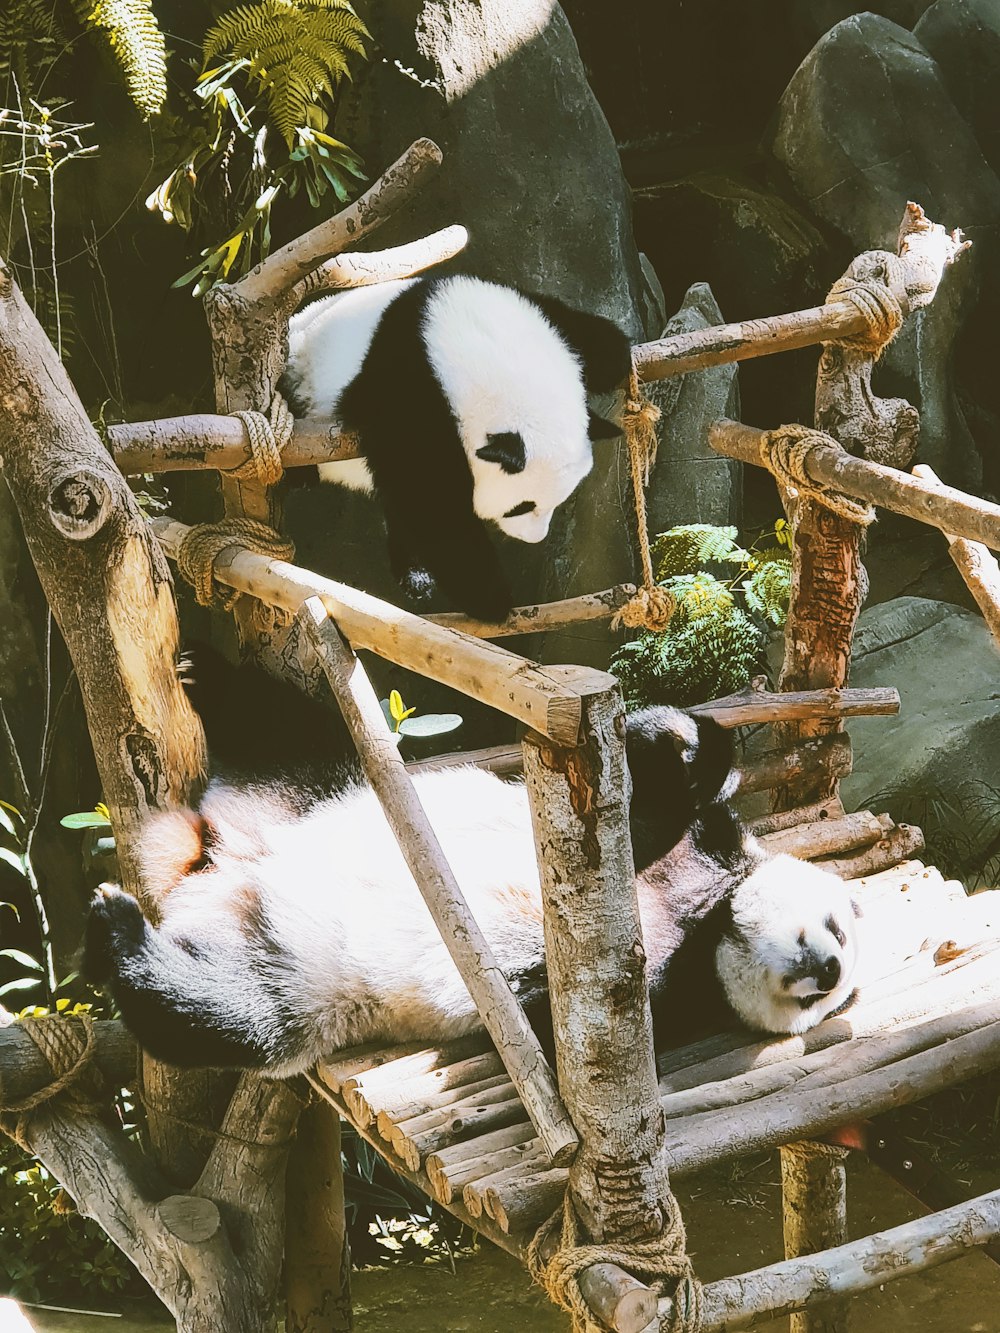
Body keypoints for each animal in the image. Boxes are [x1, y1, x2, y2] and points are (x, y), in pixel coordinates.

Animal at [84, 703, 864, 1077]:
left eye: (827, 997)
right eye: (839, 928)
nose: (826, 970)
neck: (708, 915)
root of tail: (228, 864)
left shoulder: (680, 994)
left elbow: (568, 1034)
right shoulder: (689, 839)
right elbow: (653, 782)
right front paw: (687, 745)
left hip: (295, 970)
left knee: (225, 1012)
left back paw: (117, 933)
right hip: (325, 788)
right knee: (293, 729)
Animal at [278, 274, 629, 623]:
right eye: (521, 507)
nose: (536, 537)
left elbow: (575, 326)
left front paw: (614, 357)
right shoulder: (406, 392)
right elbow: (432, 501)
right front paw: (491, 599)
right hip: (299, 365)